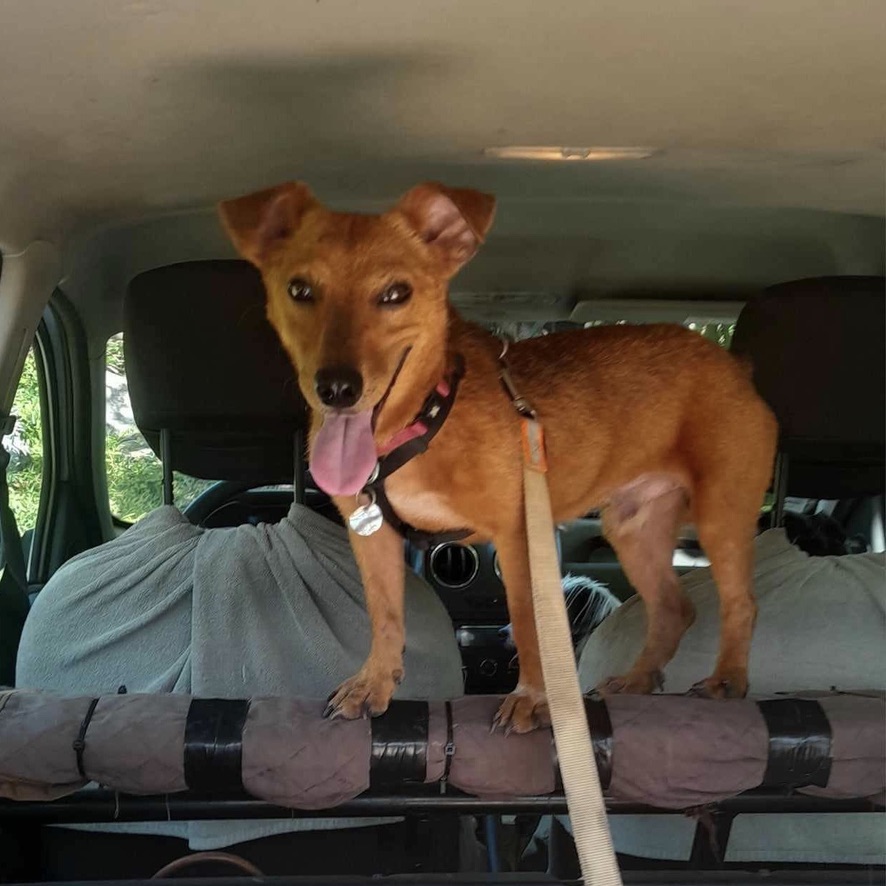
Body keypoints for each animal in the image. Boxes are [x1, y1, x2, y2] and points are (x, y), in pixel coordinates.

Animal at [219, 182, 780, 736]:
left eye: (396, 294)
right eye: (300, 290)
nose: (336, 388)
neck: (423, 420)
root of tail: (734, 364)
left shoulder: (518, 537)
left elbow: (530, 625)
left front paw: (534, 700)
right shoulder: (373, 537)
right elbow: (386, 618)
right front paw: (373, 684)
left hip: (720, 511)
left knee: (741, 603)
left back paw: (727, 680)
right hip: (633, 527)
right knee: (673, 609)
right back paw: (636, 680)